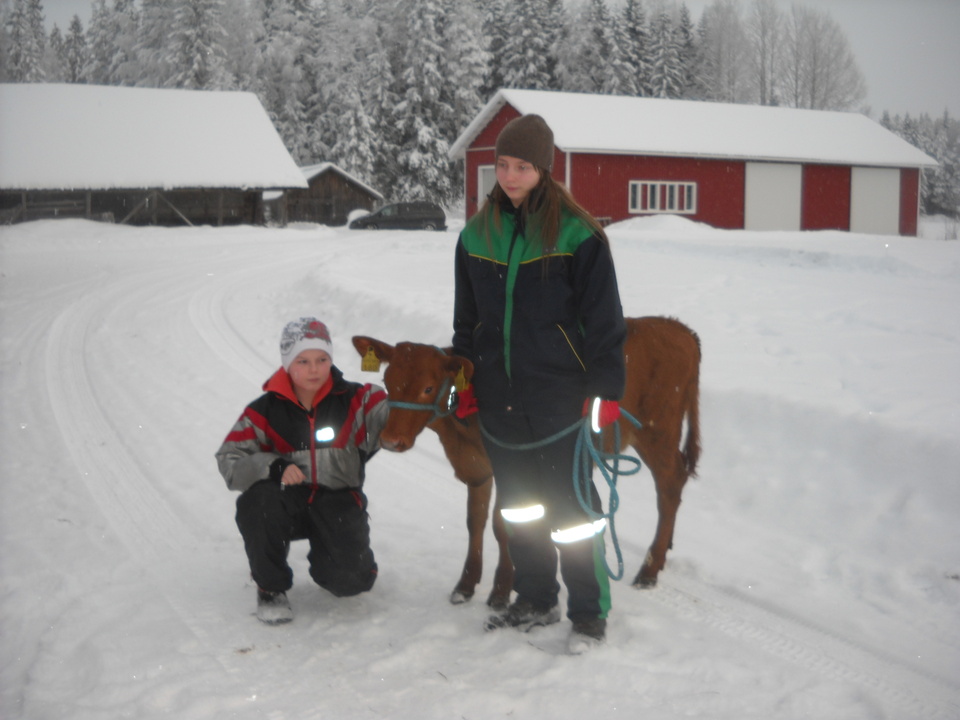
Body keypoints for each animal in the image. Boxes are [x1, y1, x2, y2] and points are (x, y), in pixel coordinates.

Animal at [352, 316, 701, 609]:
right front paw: (465, 584)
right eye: (388, 381)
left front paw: (501, 590)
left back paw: (649, 570)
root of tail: (678, 327)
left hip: (657, 431)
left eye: (427, 387)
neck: (459, 429)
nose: (390, 440)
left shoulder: (510, 463)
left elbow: (503, 525)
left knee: (670, 484)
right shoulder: (476, 469)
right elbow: (475, 521)